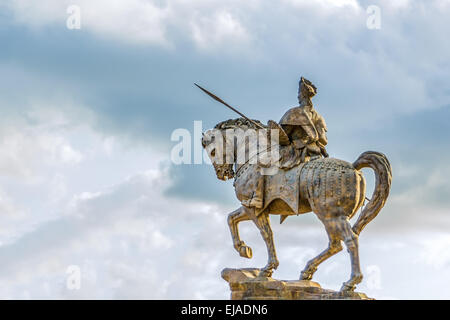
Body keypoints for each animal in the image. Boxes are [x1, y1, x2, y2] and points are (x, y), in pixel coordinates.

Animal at [202, 118, 392, 292]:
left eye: (212, 151)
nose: (222, 173)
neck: (252, 154)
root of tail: (354, 167)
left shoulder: (253, 208)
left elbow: (266, 234)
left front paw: (266, 268)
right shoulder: (250, 208)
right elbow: (231, 218)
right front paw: (244, 250)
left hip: (331, 216)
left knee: (350, 240)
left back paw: (350, 283)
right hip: (330, 217)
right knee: (335, 244)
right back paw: (307, 272)